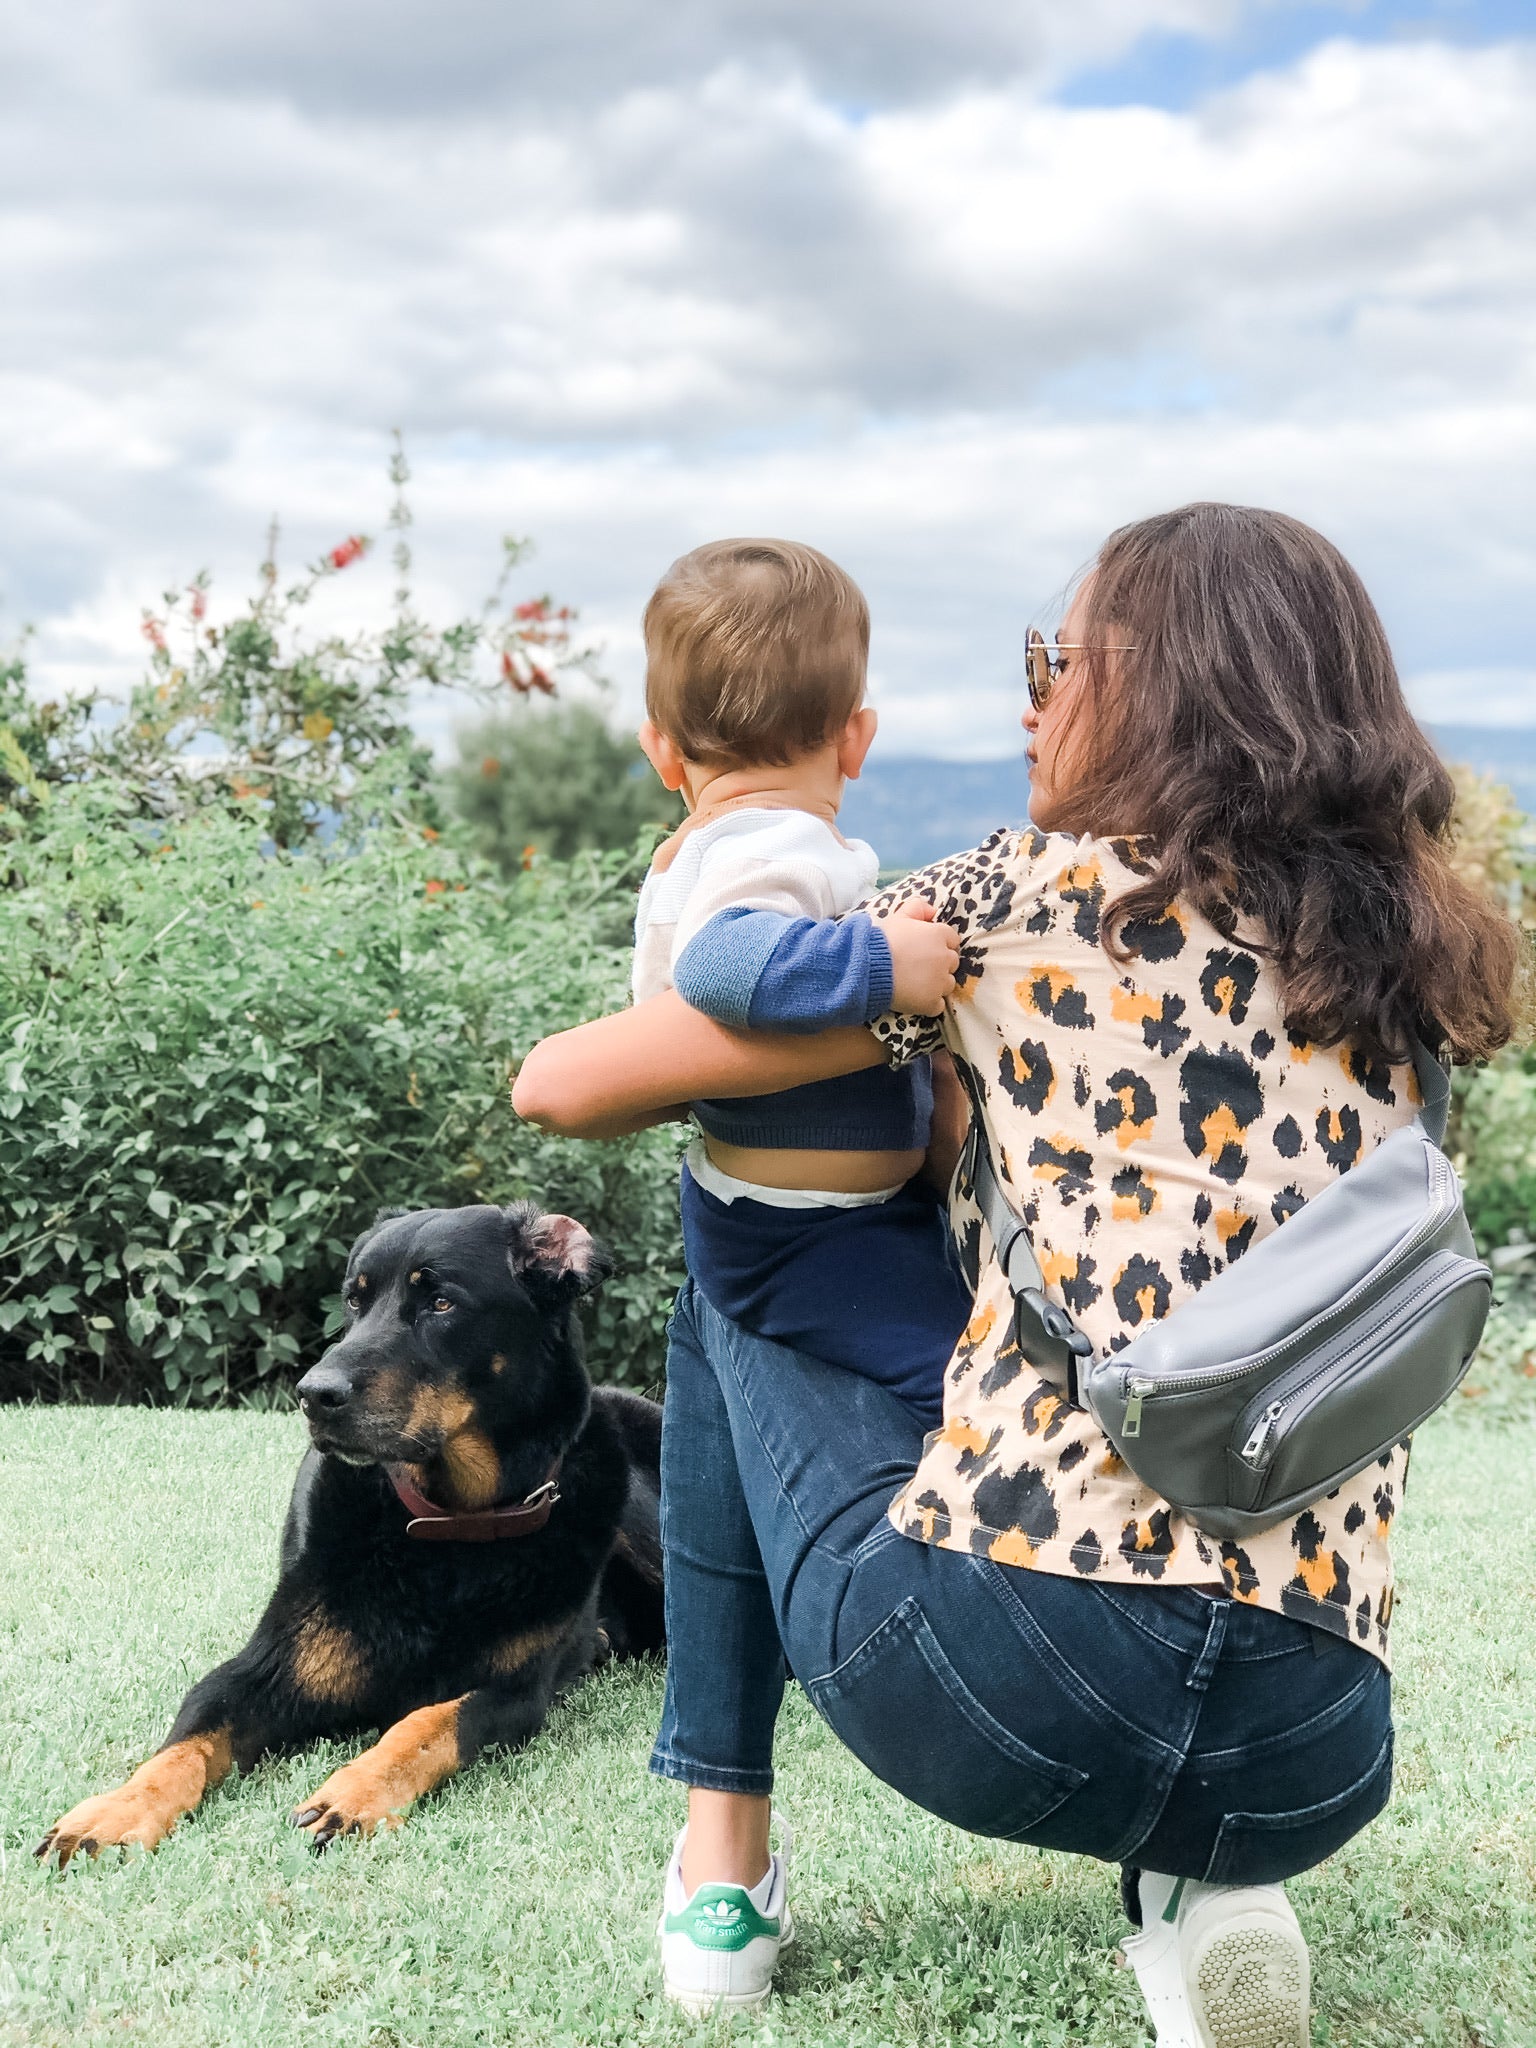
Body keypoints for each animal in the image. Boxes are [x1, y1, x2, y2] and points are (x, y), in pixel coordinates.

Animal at [36, 1196, 663, 1867]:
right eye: (355, 1302)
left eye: (442, 1303)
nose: (312, 1395)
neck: (449, 1525)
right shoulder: (264, 1670)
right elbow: (186, 1741)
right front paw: (117, 1810)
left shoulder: (515, 1694)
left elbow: (427, 1723)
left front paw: (357, 1791)